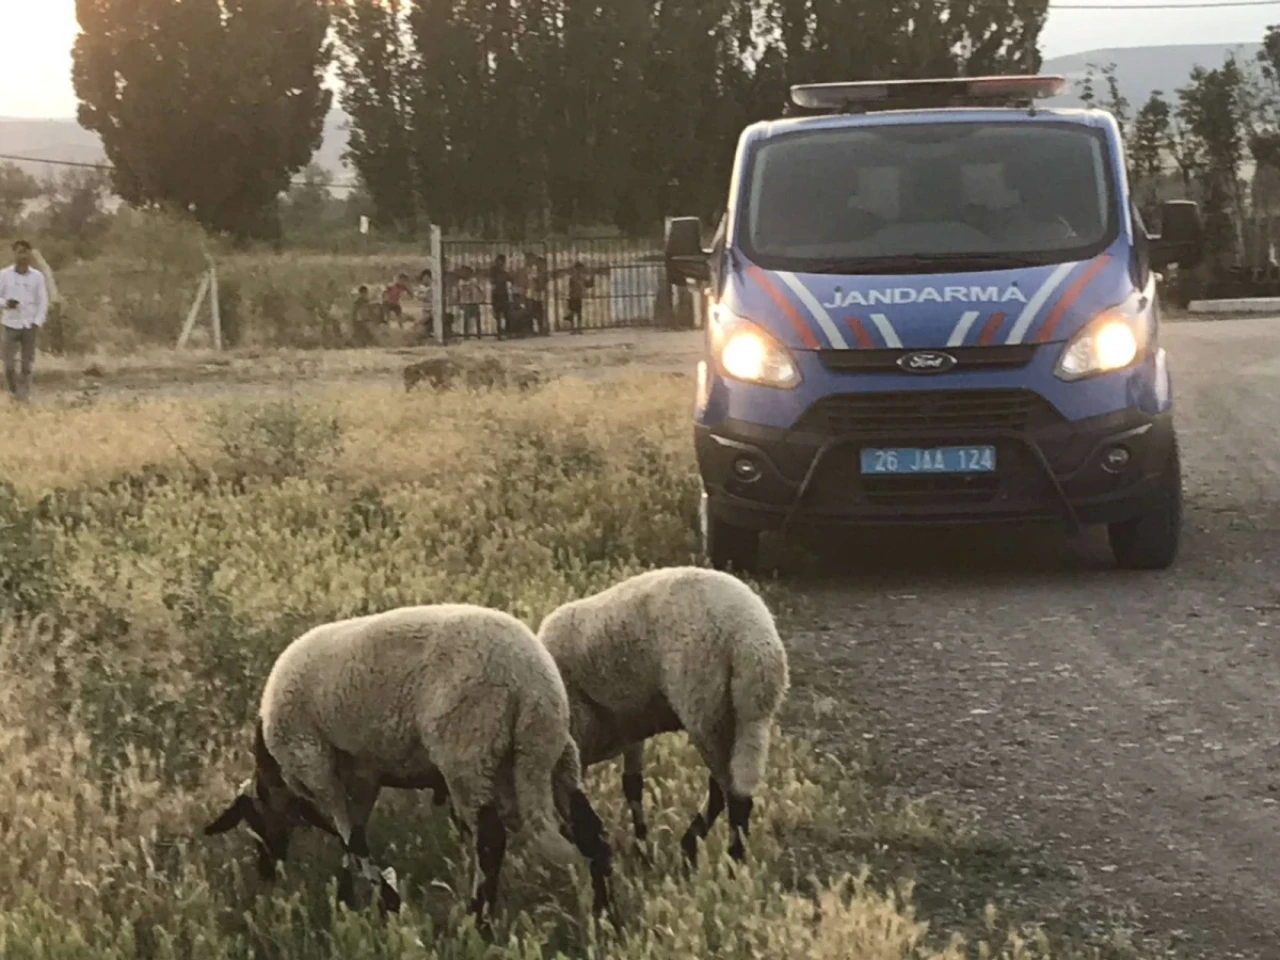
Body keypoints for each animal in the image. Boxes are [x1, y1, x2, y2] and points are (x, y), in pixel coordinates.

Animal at [532, 568, 788, 870]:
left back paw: (727, 859)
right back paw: (699, 847)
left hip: (704, 710)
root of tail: (755, 643)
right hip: (742, 721)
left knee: (731, 795)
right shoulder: (630, 723)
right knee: (728, 788)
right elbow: (632, 784)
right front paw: (642, 846)